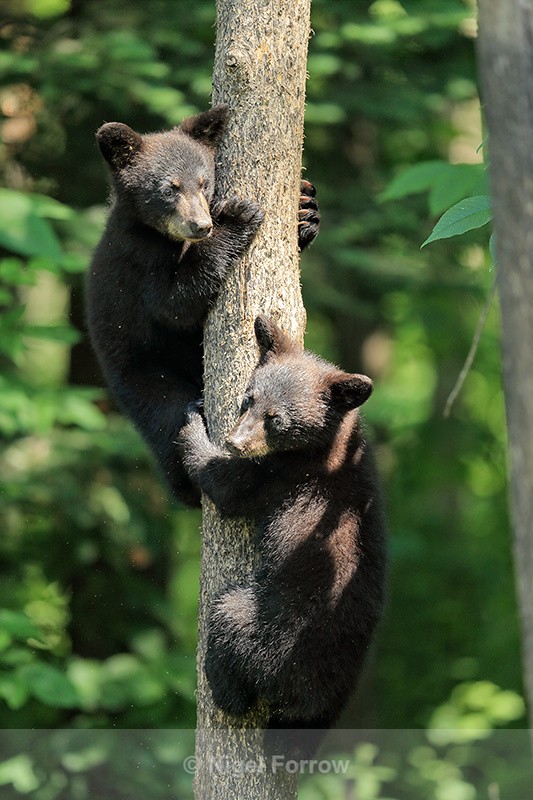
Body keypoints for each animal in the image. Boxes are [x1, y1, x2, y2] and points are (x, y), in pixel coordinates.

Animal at [86, 105, 319, 506]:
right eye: (170, 188)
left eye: (204, 183)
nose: (202, 225)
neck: (164, 236)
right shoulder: (138, 259)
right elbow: (173, 305)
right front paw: (237, 217)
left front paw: (306, 210)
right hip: (144, 377)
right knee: (167, 420)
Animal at [178, 314, 387, 753]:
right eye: (248, 400)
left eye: (276, 419)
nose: (235, 441)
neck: (331, 444)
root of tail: (306, 694)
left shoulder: (277, 475)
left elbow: (225, 484)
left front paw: (194, 423)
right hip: (331, 701)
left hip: (263, 628)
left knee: (228, 623)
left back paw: (220, 689)